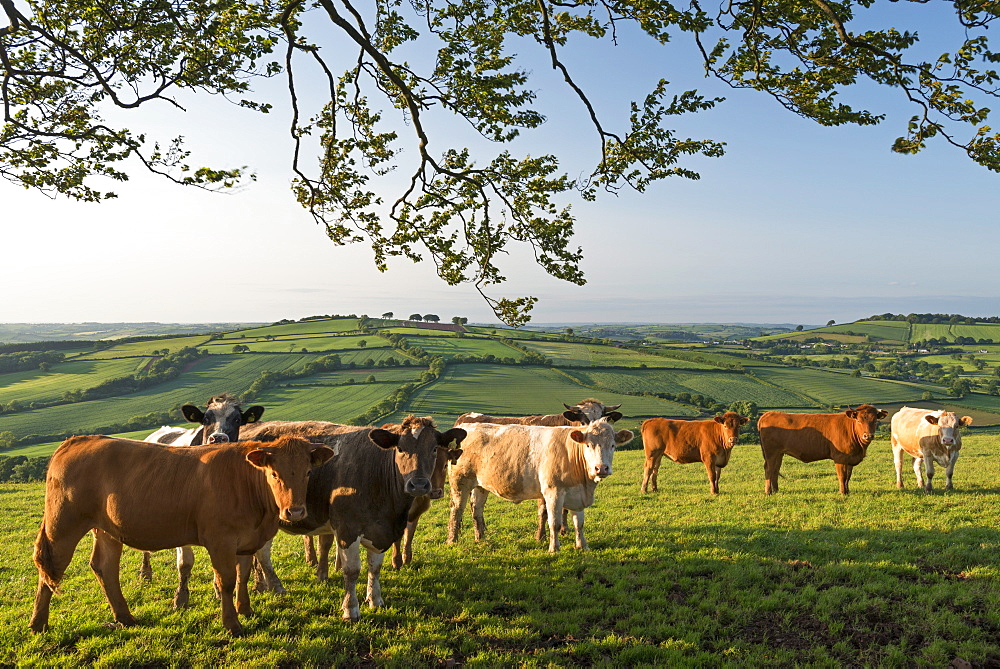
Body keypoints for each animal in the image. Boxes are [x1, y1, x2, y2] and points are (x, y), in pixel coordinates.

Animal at [26, 436, 332, 636]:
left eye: (307, 472)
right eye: (274, 474)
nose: (295, 511)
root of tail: (79, 440)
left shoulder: (246, 540)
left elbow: (243, 574)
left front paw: (246, 610)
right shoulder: (220, 540)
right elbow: (226, 580)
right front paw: (232, 625)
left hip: (107, 528)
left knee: (105, 567)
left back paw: (125, 617)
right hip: (63, 524)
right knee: (51, 568)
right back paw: (38, 624)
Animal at [452, 418, 636, 552]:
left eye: (612, 445)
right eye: (589, 445)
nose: (601, 468)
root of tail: (466, 425)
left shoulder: (577, 495)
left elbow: (579, 523)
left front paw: (583, 546)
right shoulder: (553, 492)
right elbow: (554, 522)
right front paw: (554, 548)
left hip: (481, 485)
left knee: (477, 510)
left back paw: (480, 539)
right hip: (460, 481)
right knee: (457, 509)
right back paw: (452, 540)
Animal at [752, 404, 888, 494]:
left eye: (875, 420)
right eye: (859, 420)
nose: (868, 436)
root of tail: (769, 413)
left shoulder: (850, 458)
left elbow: (848, 477)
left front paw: (847, 491)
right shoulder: (840, 458)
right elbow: (842, 476)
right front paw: (842, 493)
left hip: (779, 454)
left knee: (775, 470)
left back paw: (776, 490)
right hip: (771, 453)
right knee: (769, 469)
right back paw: (768, 492)